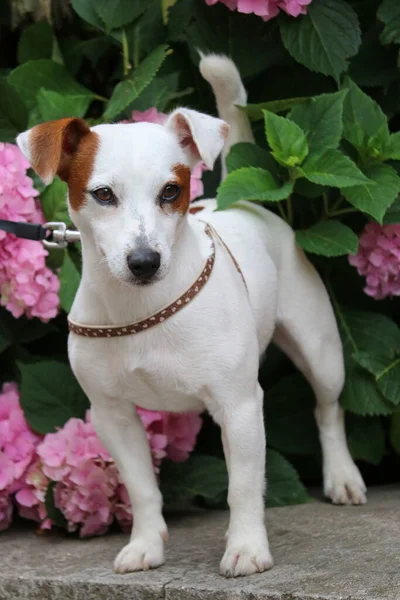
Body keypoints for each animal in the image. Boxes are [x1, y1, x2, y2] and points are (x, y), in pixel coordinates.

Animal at [15, 55, 366, 576]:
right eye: (103, 194)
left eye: (170, 191)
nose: (144, 261)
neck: (141, 312)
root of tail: (243, 200)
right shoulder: (112, 415)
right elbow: (141, 489)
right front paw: (145, 544)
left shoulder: (240, 405)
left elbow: (244, 487)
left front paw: (246, 547)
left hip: (321, 352)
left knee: (329, 410)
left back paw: (341, 474)